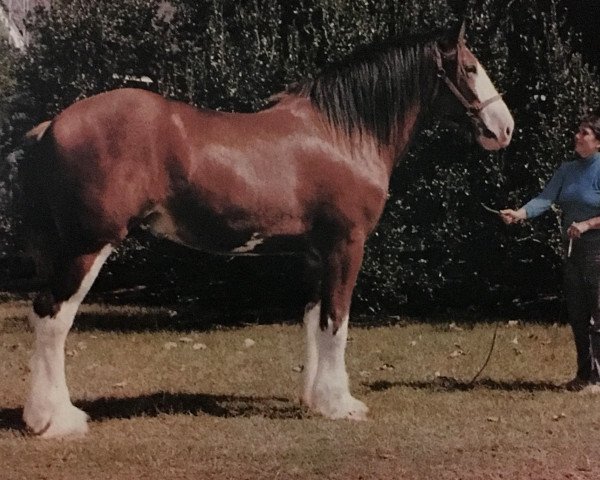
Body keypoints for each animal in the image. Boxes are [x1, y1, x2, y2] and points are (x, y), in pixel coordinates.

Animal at [17, 25, 510, 438]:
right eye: (470, 68)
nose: (505, 128)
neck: (341, 134)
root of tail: (51, 126)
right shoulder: (346, 246)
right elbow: (338, 321)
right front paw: (342, 405)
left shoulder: (314, 254)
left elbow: (314, 320)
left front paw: (316, 401)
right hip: (88, 247)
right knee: (53, 317)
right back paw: (56, 420)